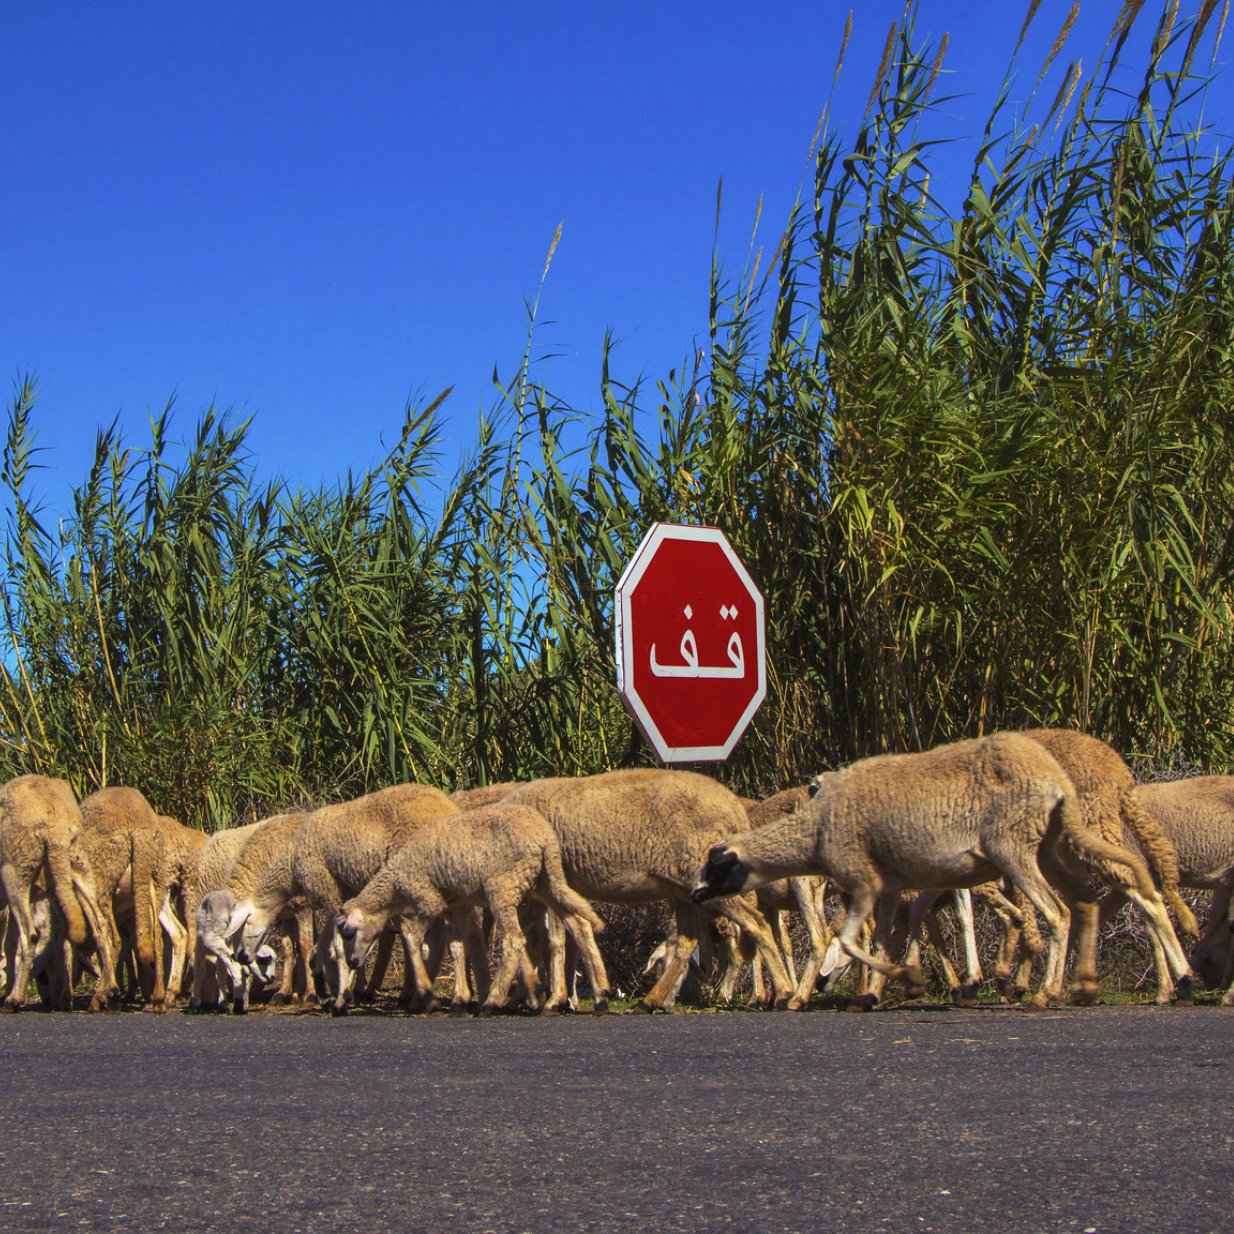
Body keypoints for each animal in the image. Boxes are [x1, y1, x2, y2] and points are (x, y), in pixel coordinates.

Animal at [337, 801, 609, 1015]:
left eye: (349, 932)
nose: (353, 961)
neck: (394, 884)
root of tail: (545, 838)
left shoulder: (428, 899)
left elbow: (413, 939)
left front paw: (427, 993)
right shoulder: (456, 905)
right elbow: (457, 948)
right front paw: (460, 998)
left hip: (504, 887)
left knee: (514, 940)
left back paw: (493, 1001)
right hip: (546, 882)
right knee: (577, 921)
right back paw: (600, 993)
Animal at [503, 768, 794, 1012]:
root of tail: (737, 811)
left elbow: (547, 939)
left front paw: (549, 998)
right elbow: (531, 935)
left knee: (755, 923)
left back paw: (782, 992)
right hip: (684, 891)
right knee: (687, 942)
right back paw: (652, 1000)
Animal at [692, 731, 1174, 1010]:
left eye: (716, 866)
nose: (696, 892)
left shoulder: (875, 880)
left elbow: (844, 938)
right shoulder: (904, 880)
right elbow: (898, 930)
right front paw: (888, 986)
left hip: (1024, 848)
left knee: (1071, 908)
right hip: (1056, 848)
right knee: (1096, 899)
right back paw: (1087, 984)